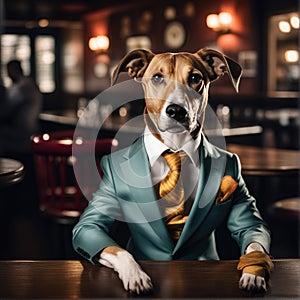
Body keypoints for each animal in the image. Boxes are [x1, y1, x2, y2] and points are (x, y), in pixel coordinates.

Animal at [72, 48, 272, 294]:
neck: (174, 149)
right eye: (157, 77)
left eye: (195, 78)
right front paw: (136, 274)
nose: (176, 111)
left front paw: (254, 271)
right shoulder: (89, 224)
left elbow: (254, 238)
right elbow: (113, 246)